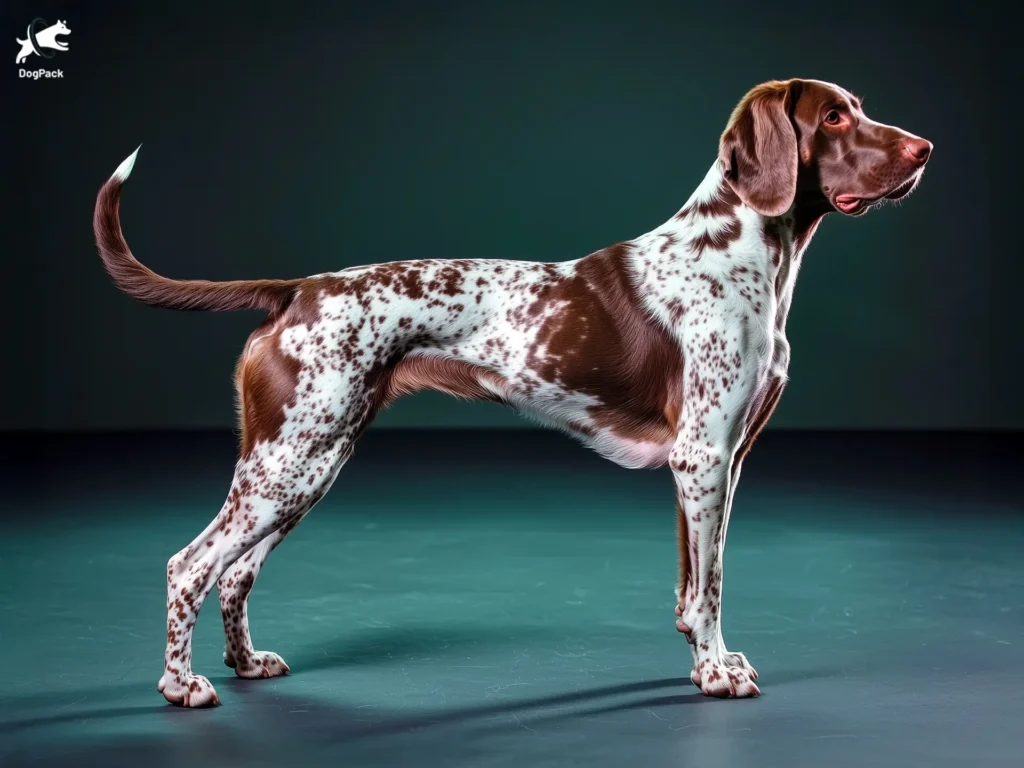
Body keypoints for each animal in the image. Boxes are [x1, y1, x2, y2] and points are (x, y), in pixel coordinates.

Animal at [92, 78, 933, 708]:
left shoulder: (716, 463)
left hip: (307, 462)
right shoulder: (704, 458)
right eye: (833, 116)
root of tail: (297, 288)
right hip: (289, 463)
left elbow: (692, 585)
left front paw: (703, 662)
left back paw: (246, 662)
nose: (924, 149)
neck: (740, 253)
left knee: (235, 571)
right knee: (189, 566)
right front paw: (717, 672)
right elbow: (711, 589)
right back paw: (180, 685)